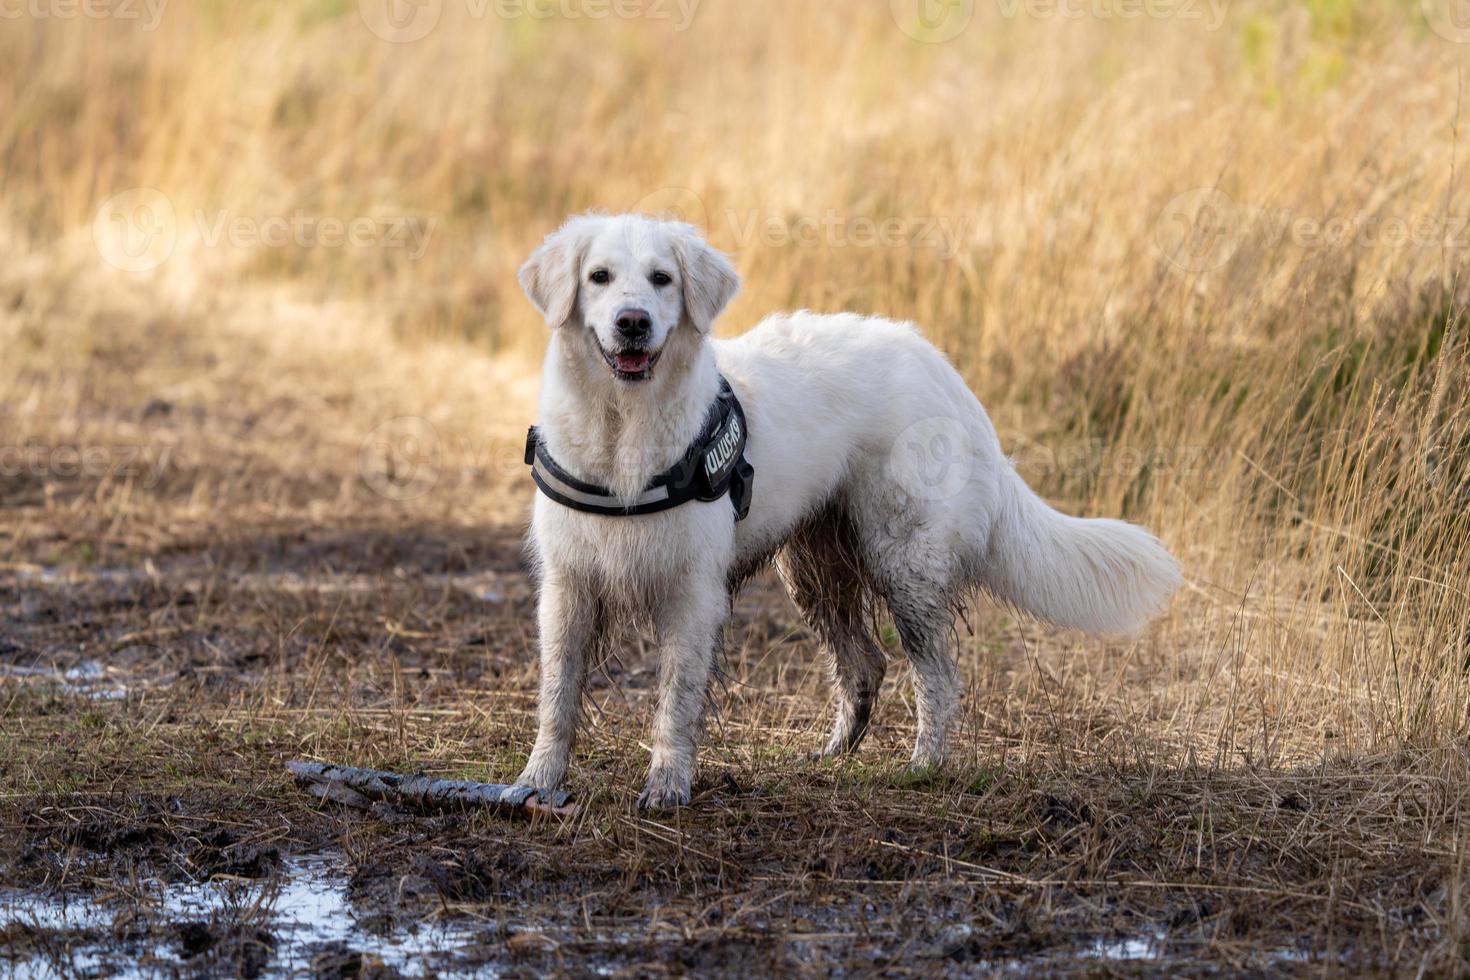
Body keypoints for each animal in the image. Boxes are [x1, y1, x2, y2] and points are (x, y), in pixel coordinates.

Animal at [517, 211, 1181, 811]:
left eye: (662, 279)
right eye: (599, 277)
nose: (633, 323)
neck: (622, 429)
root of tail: (944, 371)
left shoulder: (692, 592)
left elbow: (676, 700)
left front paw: (667, 786)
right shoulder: (567, 587)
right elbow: (557, 694)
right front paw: (536, 782)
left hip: (904, 563)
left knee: (938, 677)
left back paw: (922, 766)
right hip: (816, 571)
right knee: (865, 666)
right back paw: (830, 755)